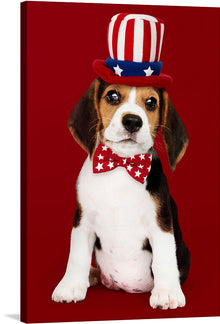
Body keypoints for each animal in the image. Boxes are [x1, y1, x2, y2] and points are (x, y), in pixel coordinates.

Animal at [52, 78, 190, 308]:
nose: (133, 121)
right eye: (112, 96)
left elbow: (164, 257)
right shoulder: (83, 220)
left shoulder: (160, 222)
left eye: (151, 102)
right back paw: (91, 275)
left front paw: (167, 292)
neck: (121, 165)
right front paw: (70, 286)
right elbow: (77, 256)